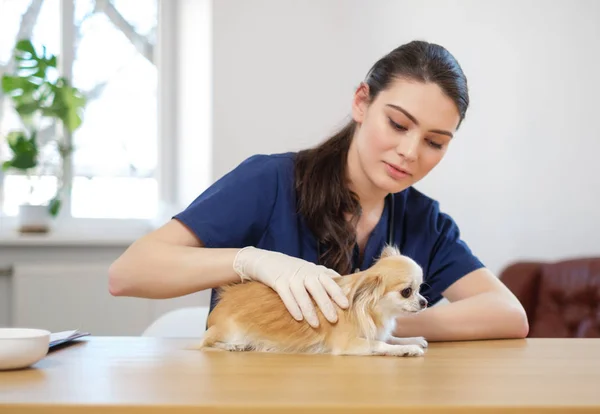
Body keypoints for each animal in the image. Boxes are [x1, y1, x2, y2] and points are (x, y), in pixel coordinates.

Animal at [199, 244, 428, 358]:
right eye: (407, 292)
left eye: (420, 289)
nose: (425, 302)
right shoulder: (348, 344)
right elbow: (380, 344)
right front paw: (407, 349)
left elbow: (389, 338)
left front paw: (412, 340)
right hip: (229, 331)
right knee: (206, 343)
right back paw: (233, 346)